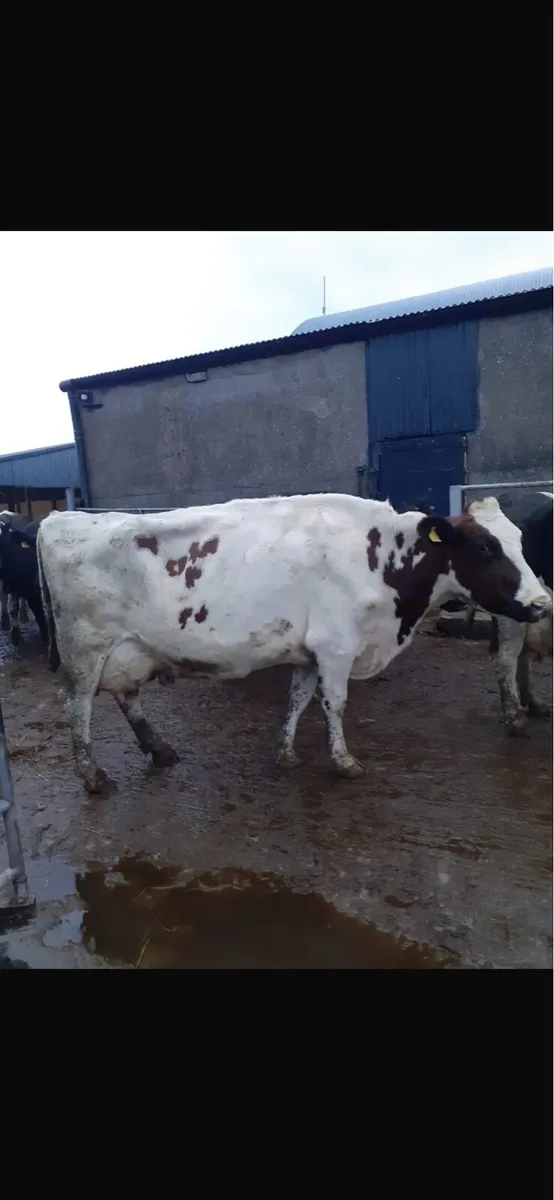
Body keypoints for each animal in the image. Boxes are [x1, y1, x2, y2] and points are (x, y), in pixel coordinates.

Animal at [35, 494, 551, 795]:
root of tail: (60, 519)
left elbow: (298, 700)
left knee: (125, 694)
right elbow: (335, 704)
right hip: (85, 647)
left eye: (521, 540)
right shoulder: (337, 645)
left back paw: (160, 750)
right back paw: (92, 776)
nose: (542, 602)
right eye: (485, 547)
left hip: (128, 648)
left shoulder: (310, 650)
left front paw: (285, 753)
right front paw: (344, 761)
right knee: (76, 704)